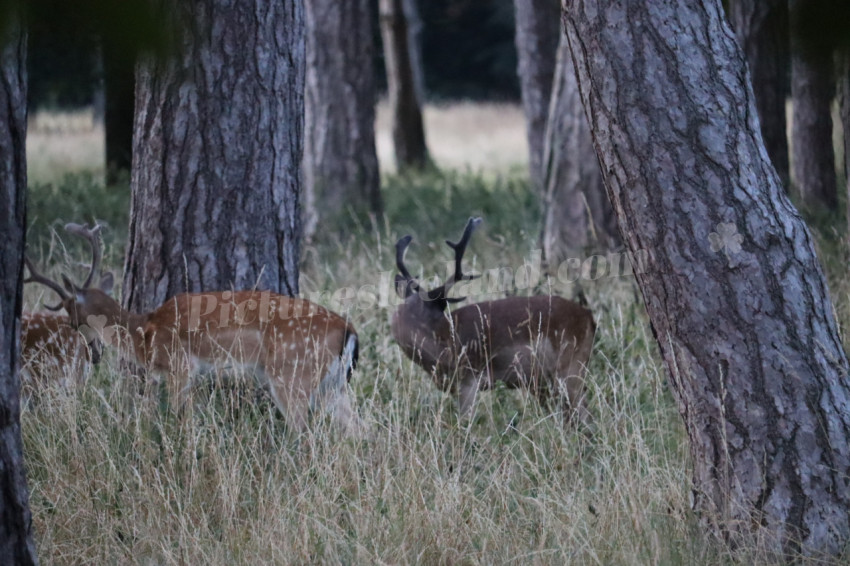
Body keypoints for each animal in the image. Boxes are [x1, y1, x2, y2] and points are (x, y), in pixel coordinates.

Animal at [24, 223, 362, 434]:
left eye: (70, 313)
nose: (91, 354)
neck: (143, 331)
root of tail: (348, 330)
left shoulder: (180, 365)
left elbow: (179, 416)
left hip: (292, 376)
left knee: (304, 433)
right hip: (334, 386)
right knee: (359, 430)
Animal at [392, 217, 596, 426]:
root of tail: (589, 318)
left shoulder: (469, 378)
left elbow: (465, 422)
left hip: (570, 367)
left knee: (585, 416)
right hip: (544, 382)